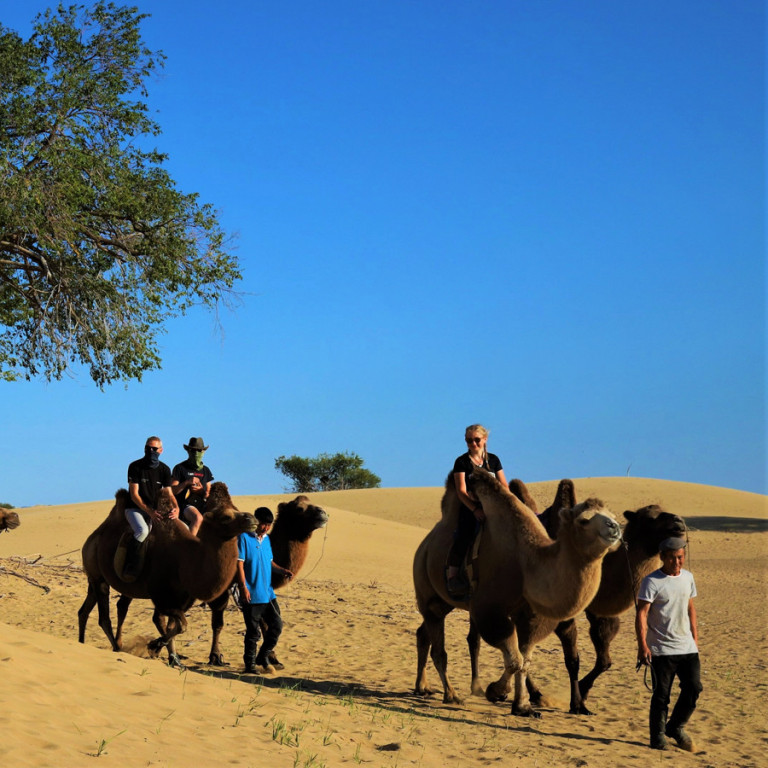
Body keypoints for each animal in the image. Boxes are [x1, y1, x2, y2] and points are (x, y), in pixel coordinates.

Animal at [80, 480, 256, 664]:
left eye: (236, 508)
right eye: (225, 517)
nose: (251, 518)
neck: (185, 556)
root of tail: (91, 539)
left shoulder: (182, 598)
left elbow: (174, 625)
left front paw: (170, 655)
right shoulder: (162, 598)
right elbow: (177, 624)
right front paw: (155, 647)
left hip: (97, 580)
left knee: (91, 609)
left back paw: (83, 642)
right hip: (98, 577)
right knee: (104, 617)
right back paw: (116, 648)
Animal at [412, 468, 620, 712]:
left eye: (613, 516)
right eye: (584, 520)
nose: (615, 528)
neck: (527, 565)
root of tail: (423, 546)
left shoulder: (532, 615)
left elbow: (525, 659)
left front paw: (522, 706)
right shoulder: (489, 609)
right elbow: (514, 659)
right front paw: (497, 692)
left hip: (443, 602)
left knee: (423, 633)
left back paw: (422, 687)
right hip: (428, 593)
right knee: (439, 650)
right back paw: (451, 695)